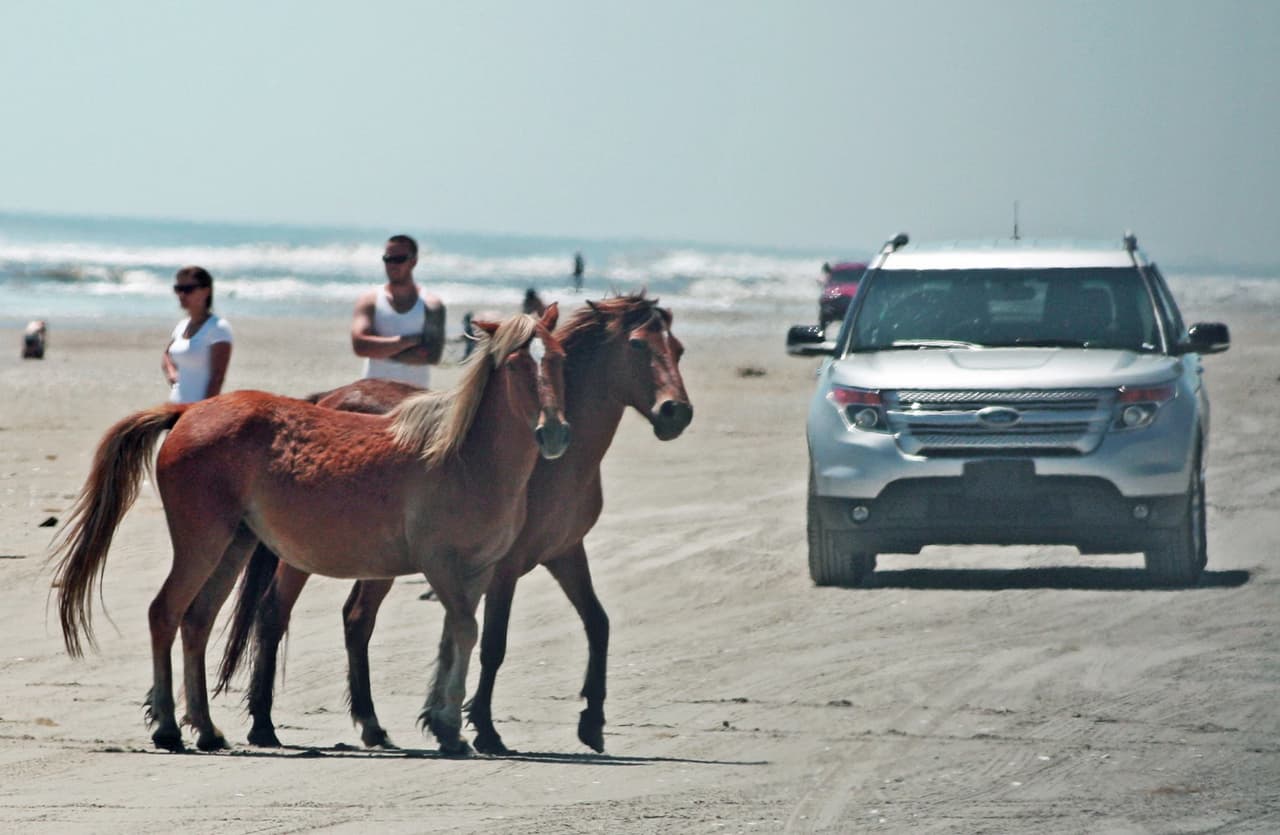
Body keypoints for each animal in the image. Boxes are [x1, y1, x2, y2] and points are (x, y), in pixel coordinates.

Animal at [51, 308, 568, 754]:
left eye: (558, 357)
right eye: (517, 363)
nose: (555, 433)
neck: (462, 457)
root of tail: (190, 413)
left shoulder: (477, 572)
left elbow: (455, 636)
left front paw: (443, 724)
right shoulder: (441, 566)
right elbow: (464, 631)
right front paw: (450, 729)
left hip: (233, 546)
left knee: (197, 621)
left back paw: (208, 729)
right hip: (203, 543)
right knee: (165, 613)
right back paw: (168, 728)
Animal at [217, 294, 693, 753]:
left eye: (678, 349)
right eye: (638, 345)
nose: (676, 412)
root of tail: (331, 397)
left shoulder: (563, 553)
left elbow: (597, 623)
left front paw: (590, 722)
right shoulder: (504, 566)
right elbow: (492, 643)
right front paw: (484, 728)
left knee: (357, 620)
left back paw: (372, 726)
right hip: (305, 553)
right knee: (274, 614)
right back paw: (264, 724)